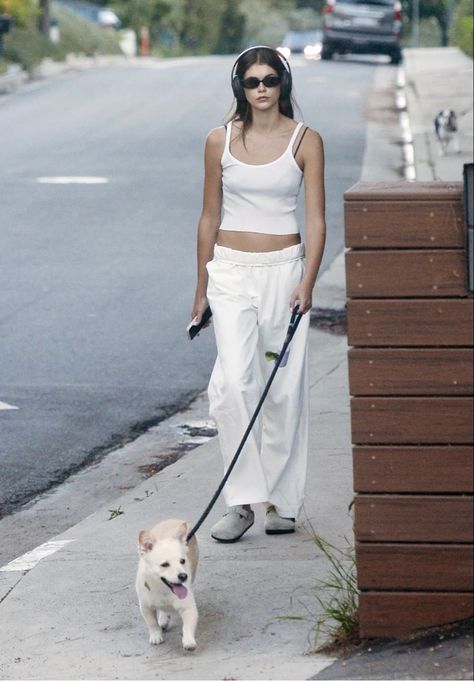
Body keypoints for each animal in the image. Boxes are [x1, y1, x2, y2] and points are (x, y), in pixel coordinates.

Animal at [135, 516, 198, 652]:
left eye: (182, 561)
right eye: (164, 565)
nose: (183, 576)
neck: (163, 590)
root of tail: (174, 519)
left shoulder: (188, 608)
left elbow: (187, 626)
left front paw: (188, 641)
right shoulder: (145, 607)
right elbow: (152, 623)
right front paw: (155, 636)